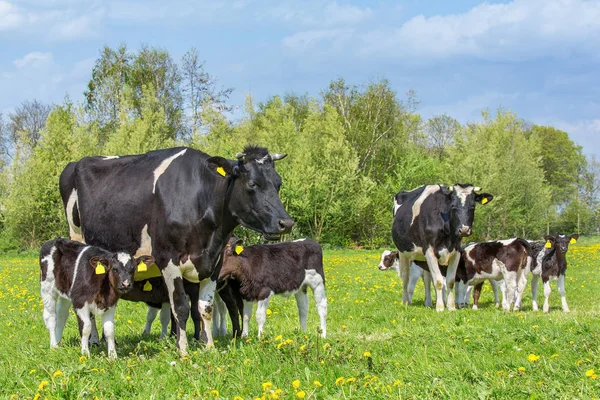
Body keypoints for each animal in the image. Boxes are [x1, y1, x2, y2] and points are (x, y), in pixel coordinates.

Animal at [59, 146, 294, 356]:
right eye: (252, 183)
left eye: (278, 183)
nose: (286, 223)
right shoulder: (168, 259)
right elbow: (180, 307)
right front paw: (183, 350)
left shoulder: (214, 262)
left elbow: (205, 308)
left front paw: (209, 347)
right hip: (80, 241)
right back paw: (94, 340)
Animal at [392, 184, 494, 312]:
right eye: (453, 206)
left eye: (473, 206)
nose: (464, 230)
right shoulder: (429, 251)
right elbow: (439, 281)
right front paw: (440, 307)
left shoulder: (456, 252)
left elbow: (449, 281)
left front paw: (450, 306)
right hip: (403, 252)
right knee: (405, 277)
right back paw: (405, 302)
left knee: (427, 279)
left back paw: (428, 303)